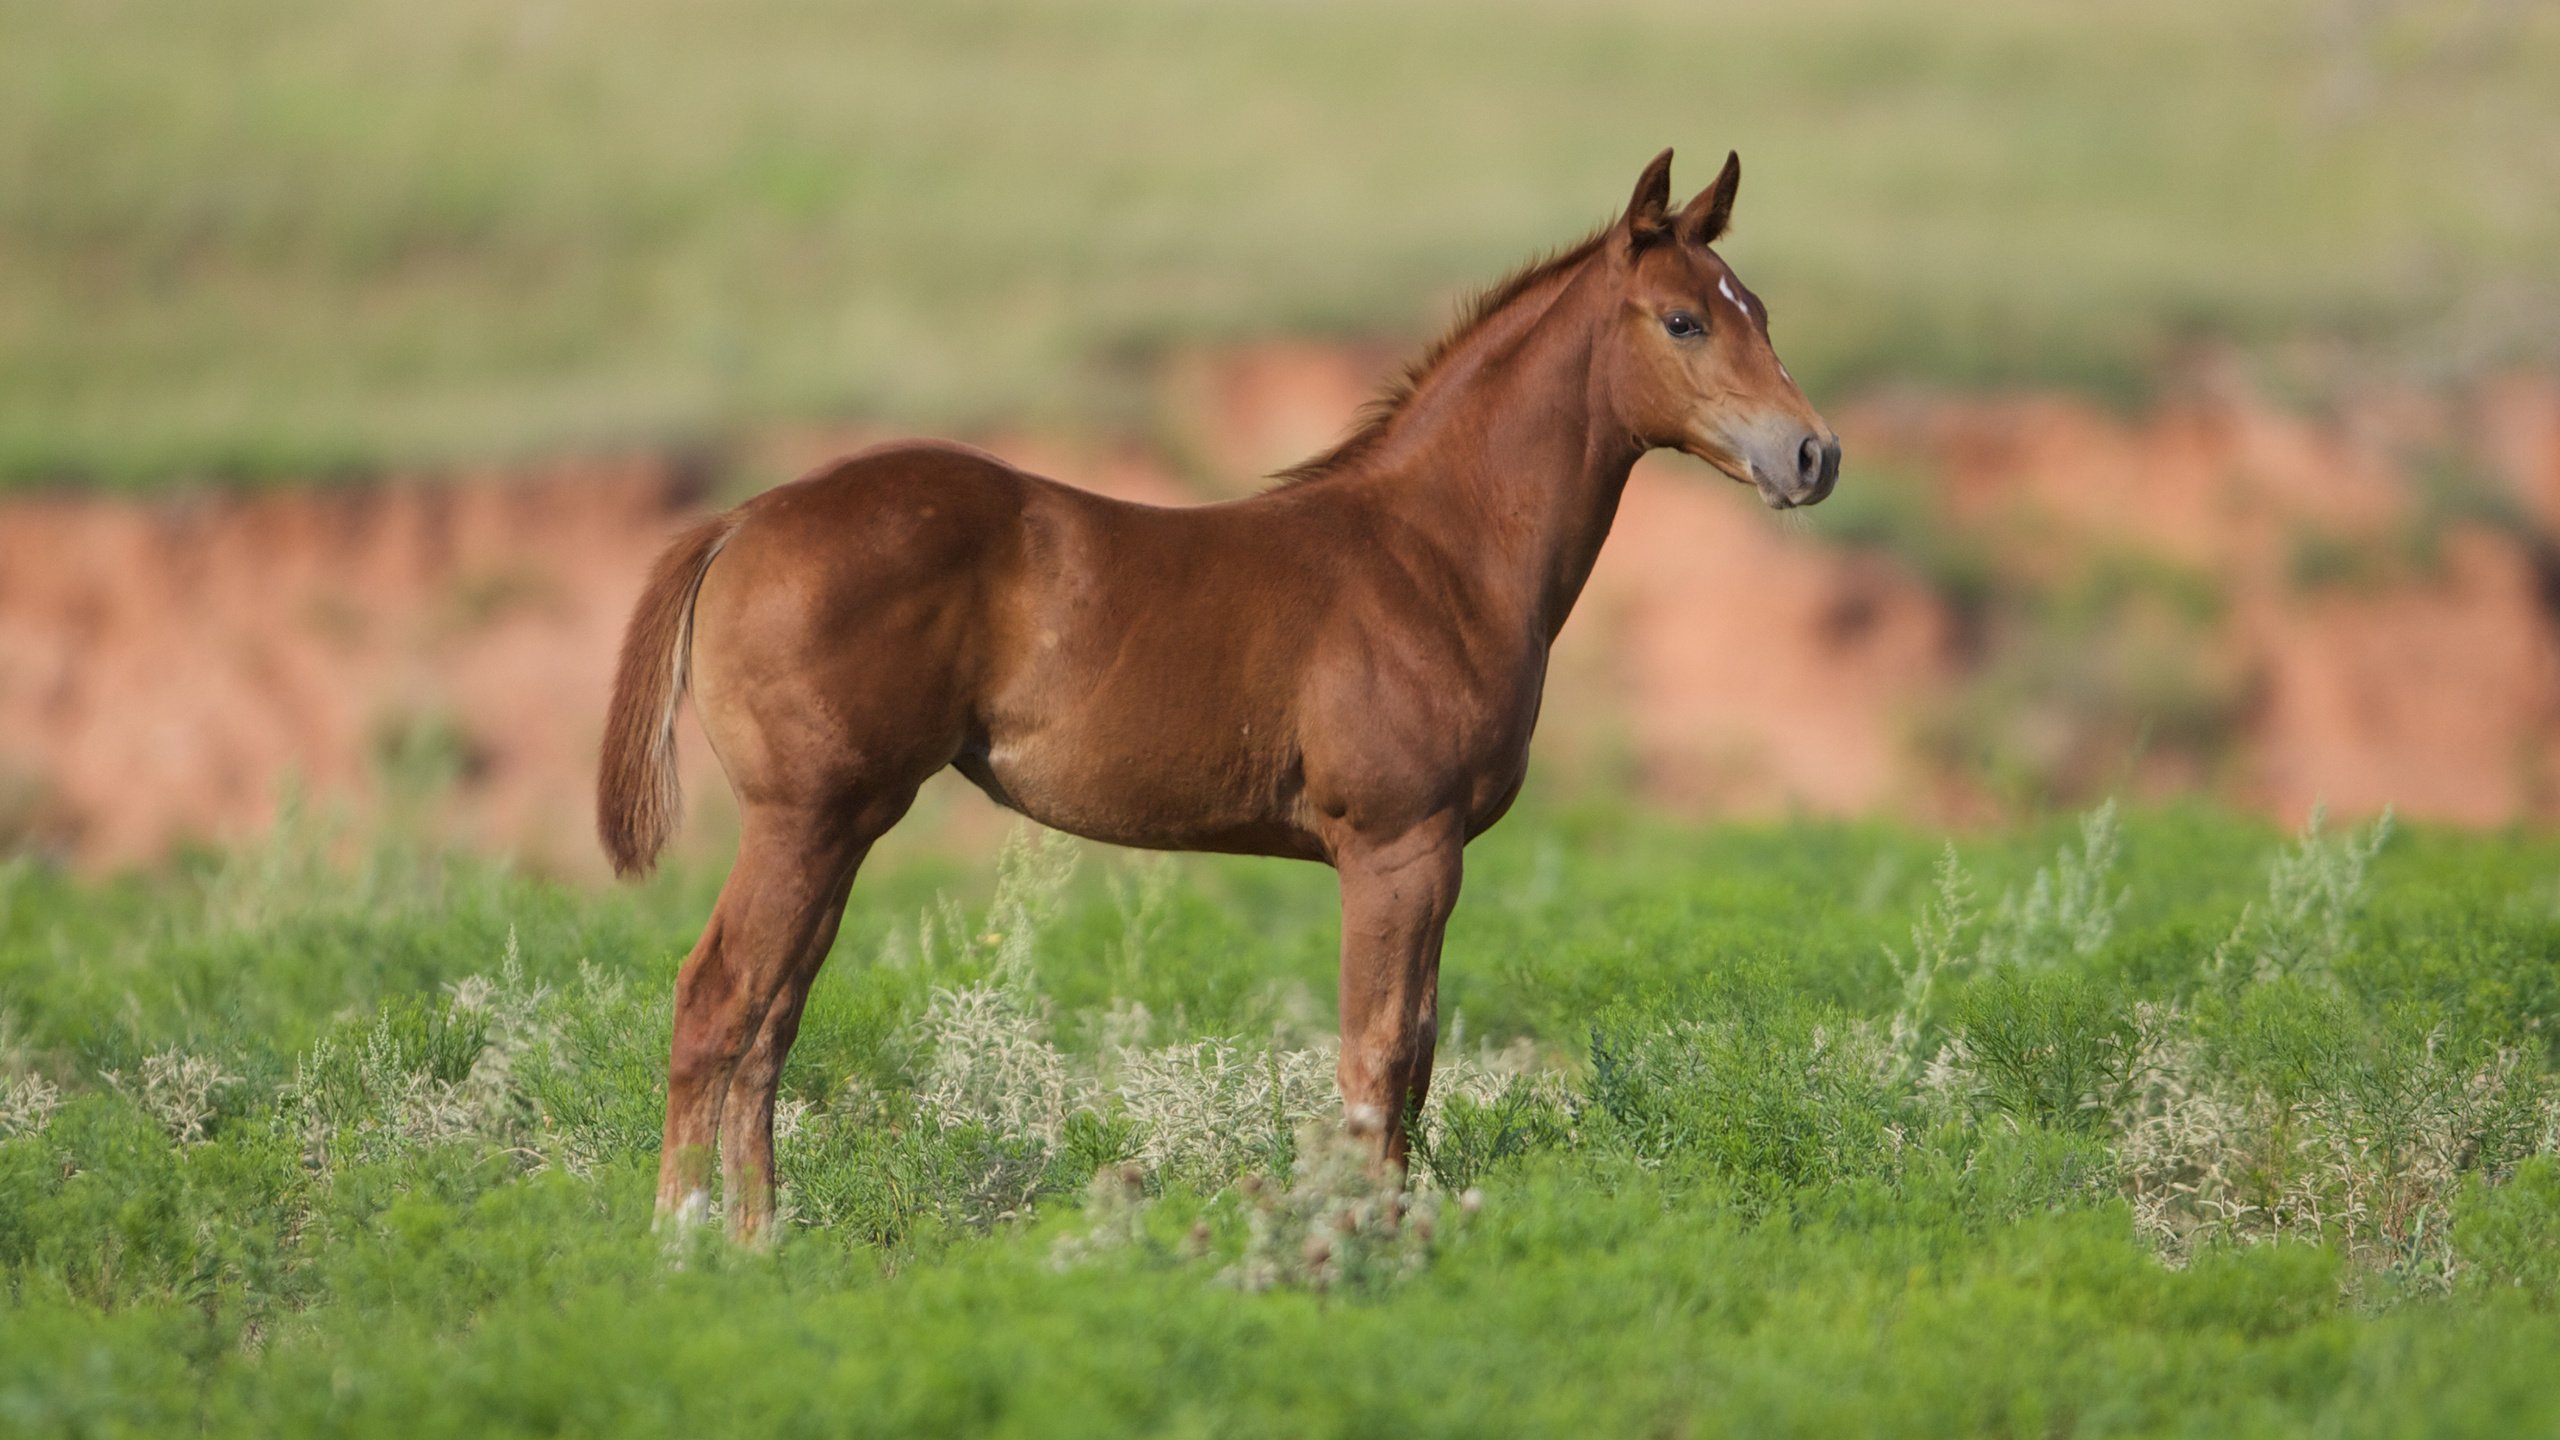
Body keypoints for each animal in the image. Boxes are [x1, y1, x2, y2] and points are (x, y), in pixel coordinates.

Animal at [599, 148, 1843, 1245]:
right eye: (1682, 321)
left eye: (1760, 309)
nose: (1812, 455)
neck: (1431, 556)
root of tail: (743, 519)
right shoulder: (1397, 845)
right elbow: (1380, 1054)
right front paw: (1360, 1238)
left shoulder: (1429, 854)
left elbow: (1416, 1055)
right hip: (803, 818)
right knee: (716, 1001)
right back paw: (682, 1245)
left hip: (843, 825)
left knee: (771, 1020)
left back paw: (763, 1246)